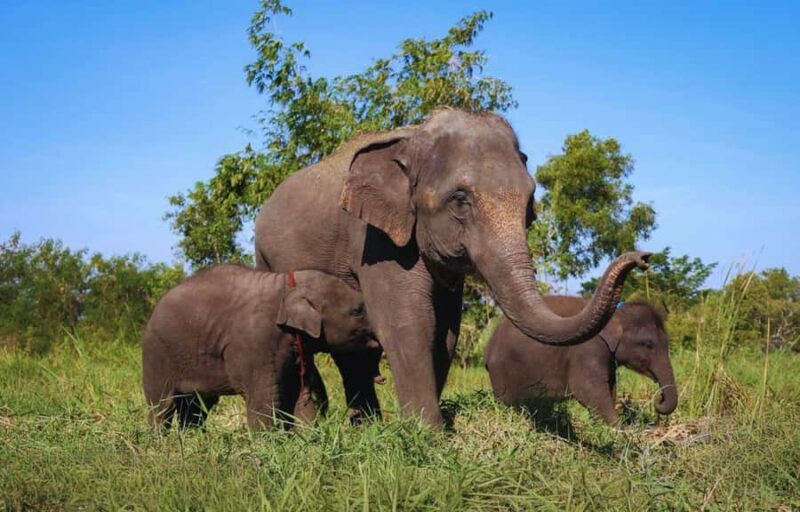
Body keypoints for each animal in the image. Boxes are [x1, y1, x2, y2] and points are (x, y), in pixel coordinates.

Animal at [141, 265, 375, 430]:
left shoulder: (296, 347)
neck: (286, 287)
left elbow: (302, 394)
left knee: (196, 408)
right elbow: (265, 401)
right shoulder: (256, 345)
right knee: (161, 407)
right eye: (357, 311)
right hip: (156, 356)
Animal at [254, 108, 650, 426]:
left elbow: (445, 329)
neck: (413, 139)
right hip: (267, 257)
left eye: (529, 201)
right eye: (460, 201)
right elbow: (408, 322)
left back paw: (363, 425)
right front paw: (428, 436)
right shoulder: (375, 239)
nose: (642, 258)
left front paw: (433, 427)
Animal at [485, 296, 678, 425]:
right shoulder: (588, 348)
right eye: (648, 344)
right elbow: (587, 389)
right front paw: (621, 431)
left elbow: (610, 388)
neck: (616, 313)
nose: (658, 399)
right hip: (502, 373)